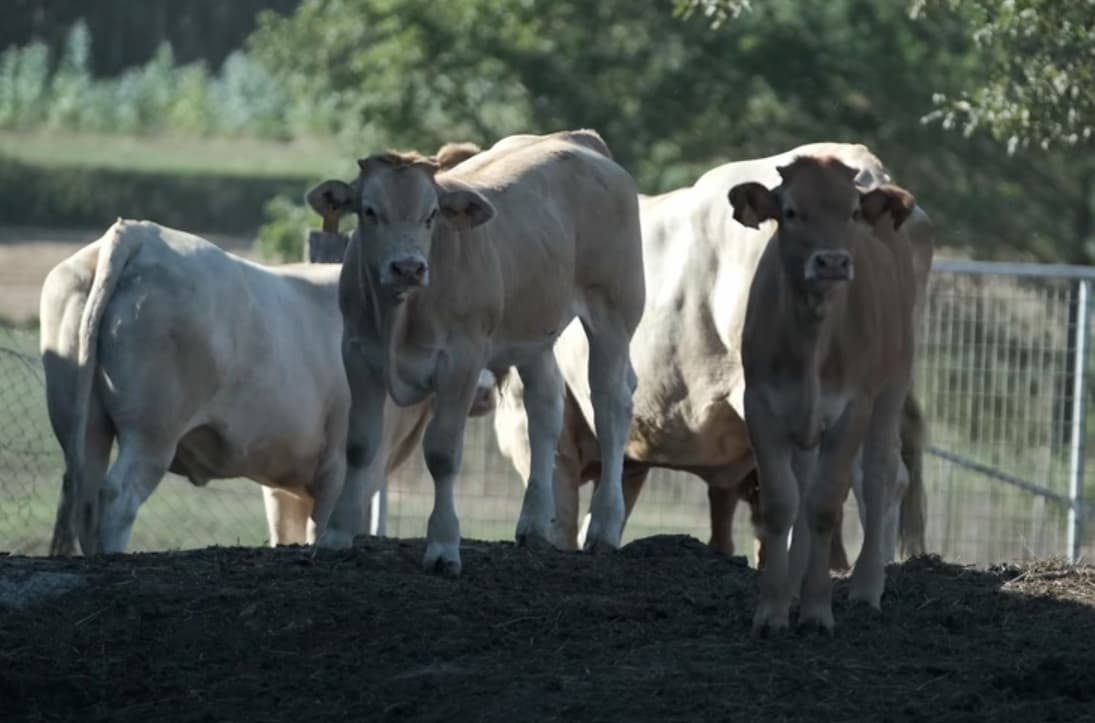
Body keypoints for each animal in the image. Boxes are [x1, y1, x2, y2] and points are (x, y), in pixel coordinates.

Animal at [40, 218, 494, 555]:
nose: (488, 388)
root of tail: (141, 234)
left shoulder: (284, 484)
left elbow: (284, 536)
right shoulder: (340, 469)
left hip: (82, 424)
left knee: (84, 495)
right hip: (152, 431)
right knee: (117, 496)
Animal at [306, 129, 645, 575]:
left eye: (431, 215)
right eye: (369, 212)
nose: (408, 267)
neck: (402, 313)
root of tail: (578, 139)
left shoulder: (461, 363)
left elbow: (442, 453)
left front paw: (443, 546)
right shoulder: (358, 354)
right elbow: (360, 445)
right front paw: (336, 535)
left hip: (614, 315)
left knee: (610, 406)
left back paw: (604, 527)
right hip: (533, 332)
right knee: (545, 407)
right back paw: (534, 523)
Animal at [729, 155, 932, 634]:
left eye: (853, 212)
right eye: (790, 211)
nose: (833, 262)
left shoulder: (852, 408)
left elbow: (824, 505)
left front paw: (817, 610)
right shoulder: (760, 405)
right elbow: (783, 504)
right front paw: (773, 607)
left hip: (893, 386)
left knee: (881, 475)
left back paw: (865, 587)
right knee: (804, 486)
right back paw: (796, 580)